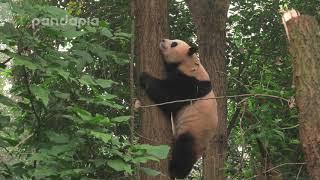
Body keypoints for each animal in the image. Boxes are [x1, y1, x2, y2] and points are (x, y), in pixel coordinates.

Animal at [139, 38, 219, 179]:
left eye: (174, 44)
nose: (163, 40)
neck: (188, 63)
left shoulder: (191, 85)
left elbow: (170, 96)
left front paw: (144, 77)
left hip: (195, 132)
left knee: (184, 149)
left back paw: (176, 171)